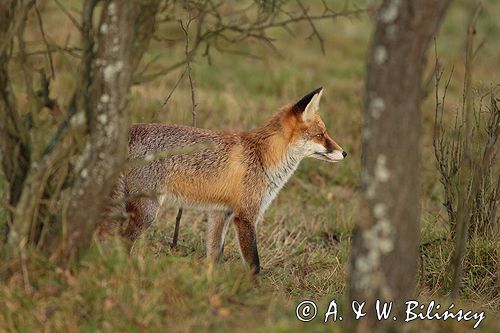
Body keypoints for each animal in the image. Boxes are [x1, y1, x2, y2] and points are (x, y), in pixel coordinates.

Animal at [110, 87, 344, 272]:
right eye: (320, 135)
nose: (345, 153)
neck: (262, 157)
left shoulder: (220, 212)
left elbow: (214, 256)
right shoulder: (246, 216)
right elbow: (254, 264)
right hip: (147, 211)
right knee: (121, 241)